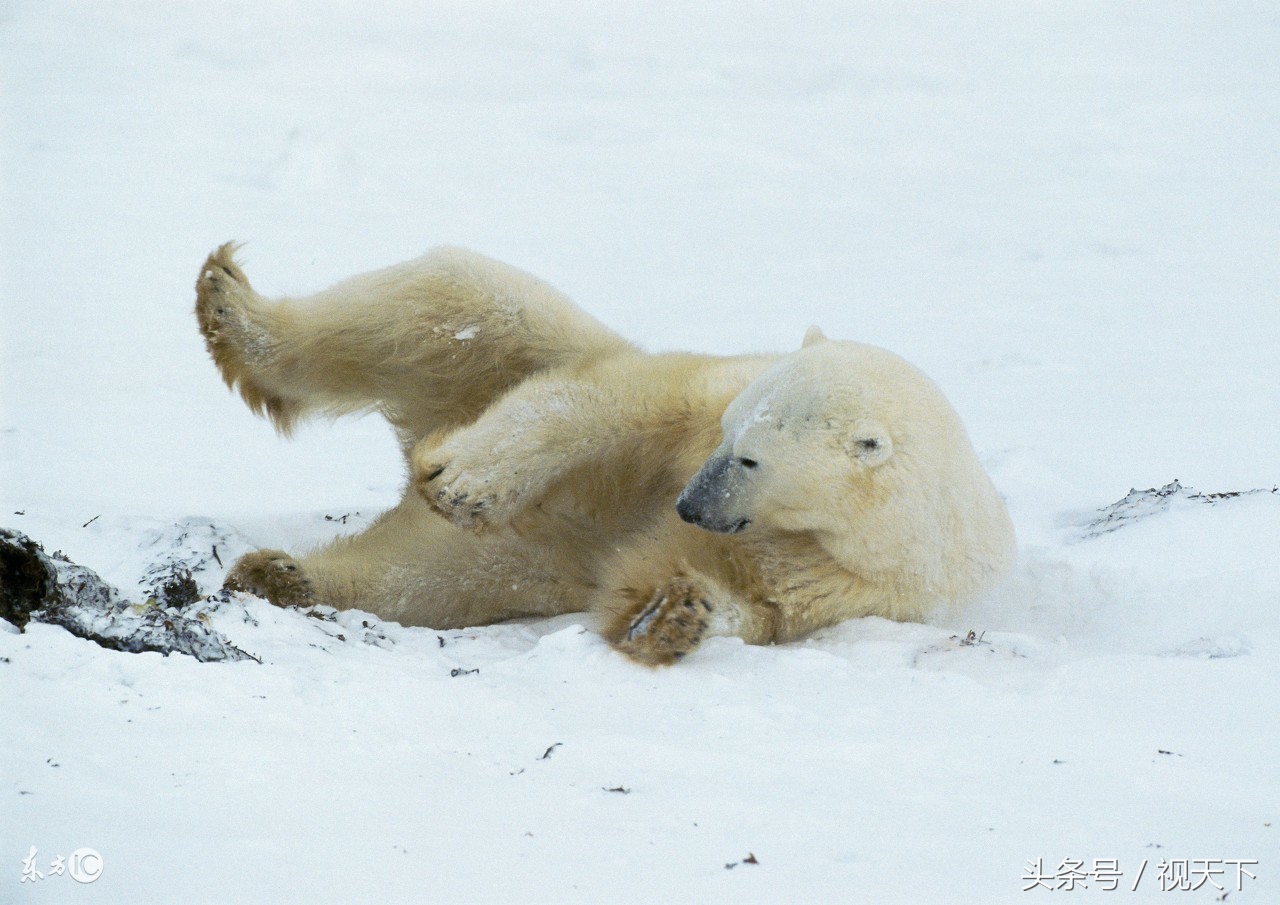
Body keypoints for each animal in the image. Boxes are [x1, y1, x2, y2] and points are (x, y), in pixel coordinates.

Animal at [194, 244, 1013, 660]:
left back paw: (286, 576)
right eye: (730, 434)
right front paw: (463, 480)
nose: (687, 502)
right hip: (505, 356)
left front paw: (672, 614)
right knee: (450, 297)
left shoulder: (860, 578)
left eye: (752, 459)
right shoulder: (705, 390)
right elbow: (618, 406)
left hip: (533, 554)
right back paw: (233, 309)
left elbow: (750, 602)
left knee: (427, 574)